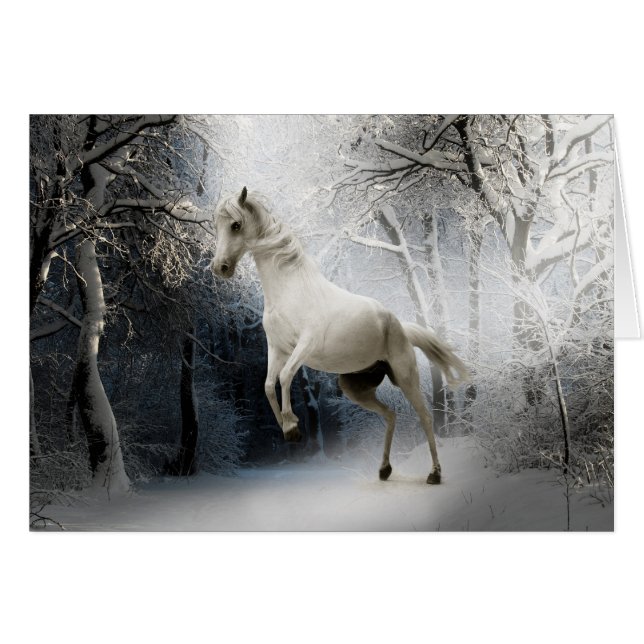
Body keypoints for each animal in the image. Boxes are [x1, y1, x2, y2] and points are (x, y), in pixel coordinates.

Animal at [212, 187, 468, 484]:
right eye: (217, 225)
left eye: (236, 225)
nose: (220, 267)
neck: (290, 289)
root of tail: (401, 327)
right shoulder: (277, 348)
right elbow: (267, 385)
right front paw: (288, 429)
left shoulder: (304, 345)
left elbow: (285, 377)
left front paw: (292, 425)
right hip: (355, 388)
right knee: (391, 415)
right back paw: (384, 470)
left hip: (406, 377)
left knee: (425, 417)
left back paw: (434, 474)